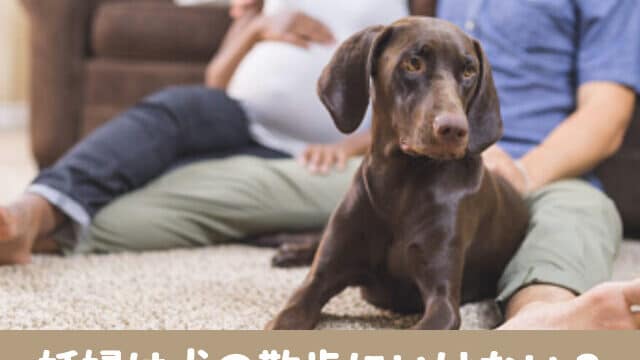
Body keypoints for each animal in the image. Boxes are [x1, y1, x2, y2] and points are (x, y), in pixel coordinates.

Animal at [266, 18, 528, 330]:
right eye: (413, 63)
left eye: (469, 71)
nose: (455, 129)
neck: (399, 185)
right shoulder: (318, 280)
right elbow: (289, 312)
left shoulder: (443, 302)